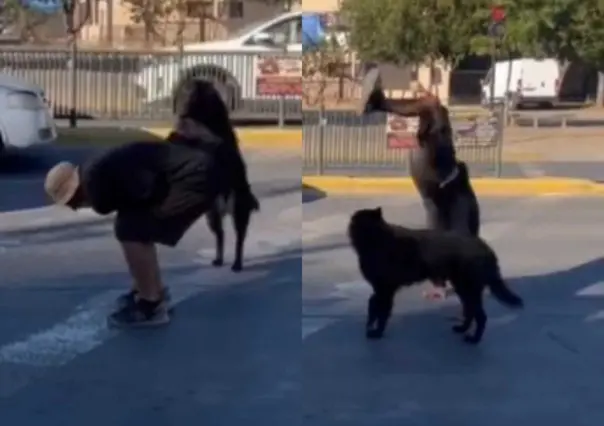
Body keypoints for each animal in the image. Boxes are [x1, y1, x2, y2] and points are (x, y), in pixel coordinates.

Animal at [350, 208, 524, 344]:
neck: (377, 238)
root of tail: (486, 247)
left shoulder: (385, 289)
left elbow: (382, 312)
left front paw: (377, 332)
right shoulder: (379, 289)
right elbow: (372, 305)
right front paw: (370, 324)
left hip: (468, 287)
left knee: (480, 315)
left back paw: (474, 339)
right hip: (463, 287)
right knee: (470, 310)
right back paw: (462, 328)